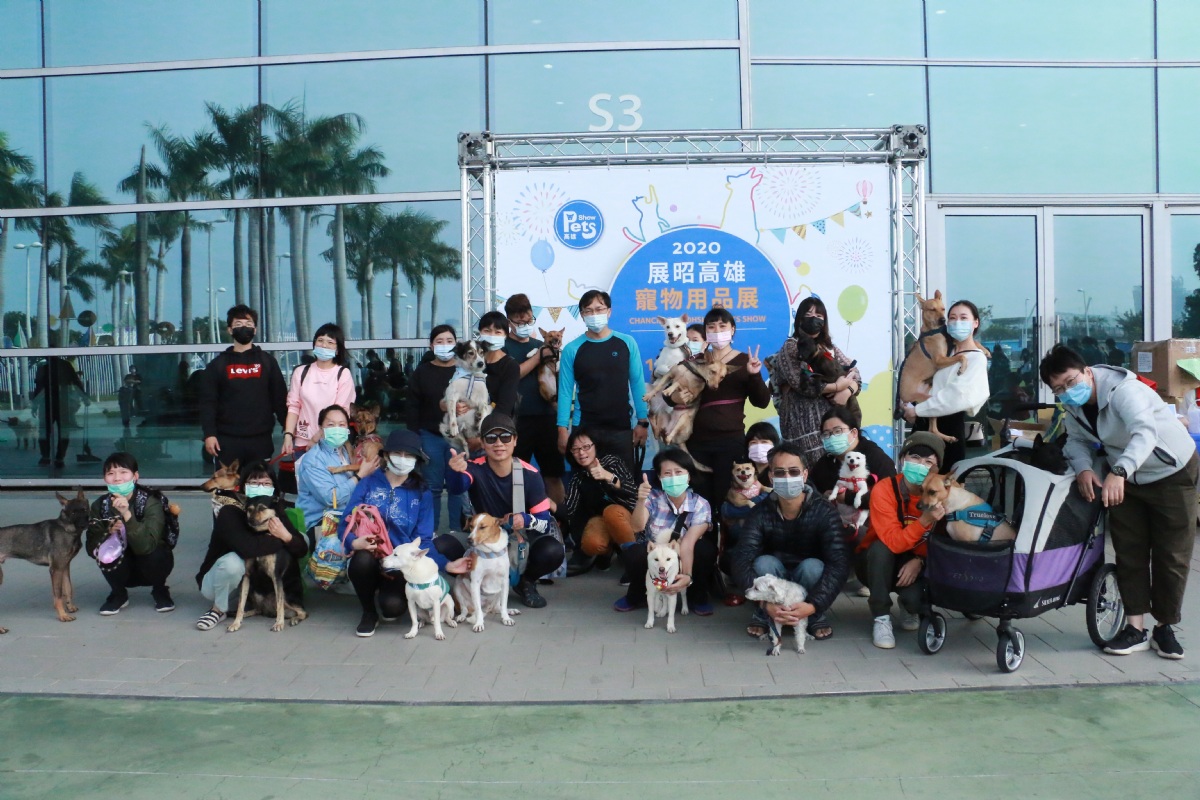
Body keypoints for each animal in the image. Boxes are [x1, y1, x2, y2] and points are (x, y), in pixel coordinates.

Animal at [0, 490, 91, 632]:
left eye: (85, 509)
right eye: (73, 513)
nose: (84, 525)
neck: (66, 528)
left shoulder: (65, 567)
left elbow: (68, 589)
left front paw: (70, 607)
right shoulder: (56, 570)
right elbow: (58, 595)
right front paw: (62, 615)